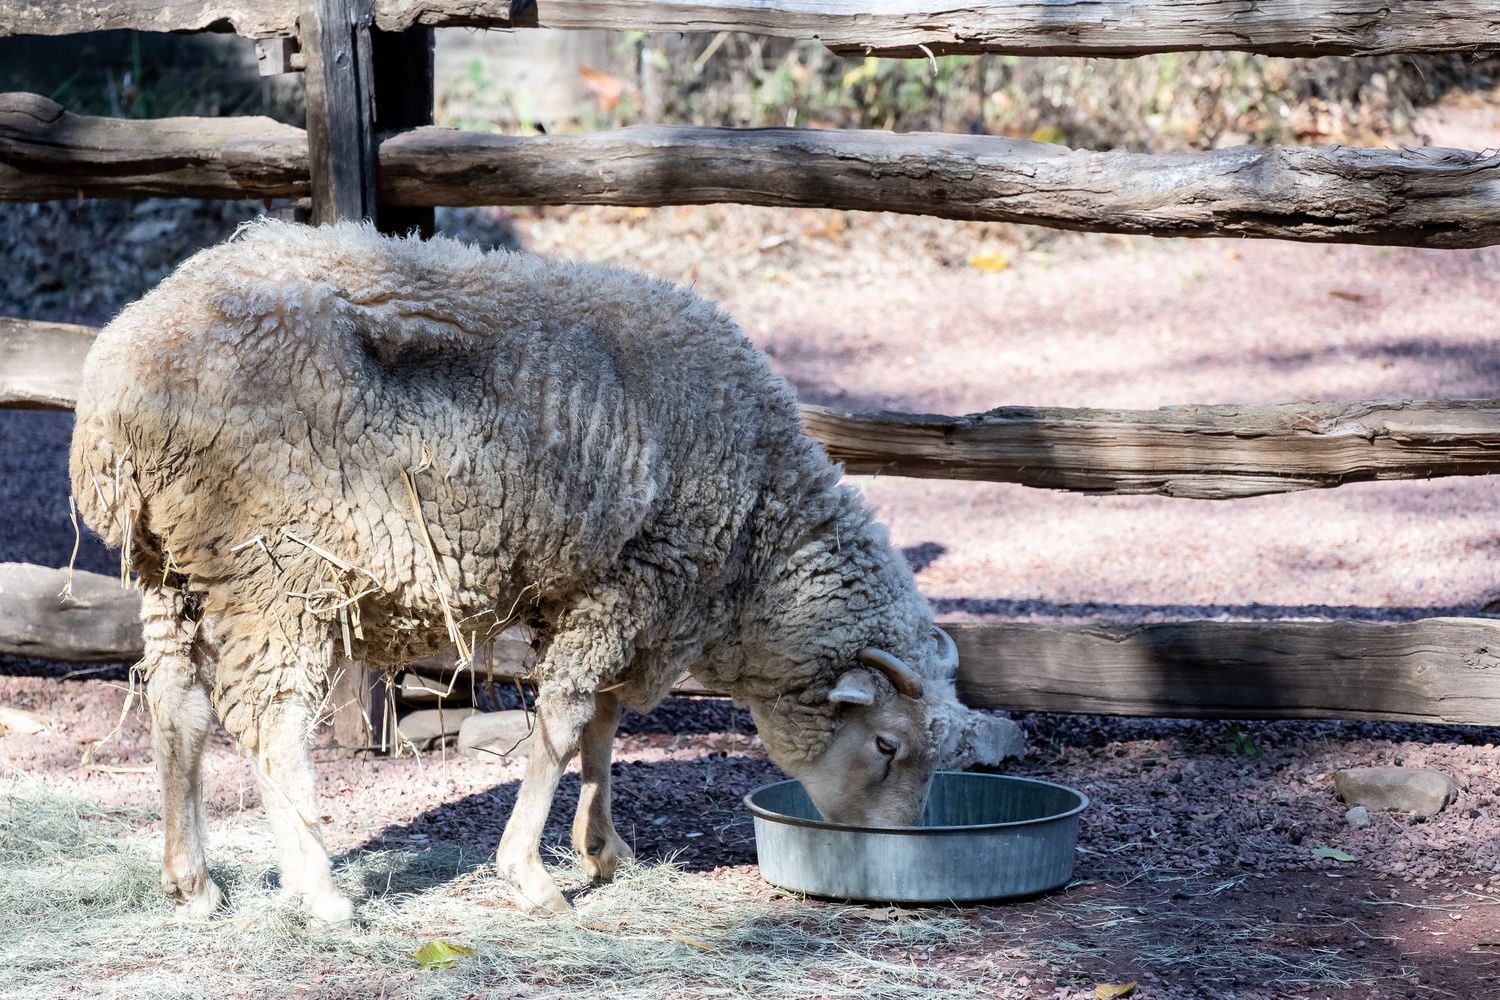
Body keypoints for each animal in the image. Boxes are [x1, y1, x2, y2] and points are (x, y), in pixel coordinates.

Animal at [70, 220, 1024, 921]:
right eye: (888, 744)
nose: (891, 854)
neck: (758, 536)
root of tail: (121, 377)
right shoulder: (632, 579)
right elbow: (564, 725)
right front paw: (528, 873)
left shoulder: (606, 595)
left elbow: (602, 726)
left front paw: (605, 850)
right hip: (277, 570)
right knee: (269, 722)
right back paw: (320, 891)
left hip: (171, 564)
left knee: (178, 707)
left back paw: (193, 884)